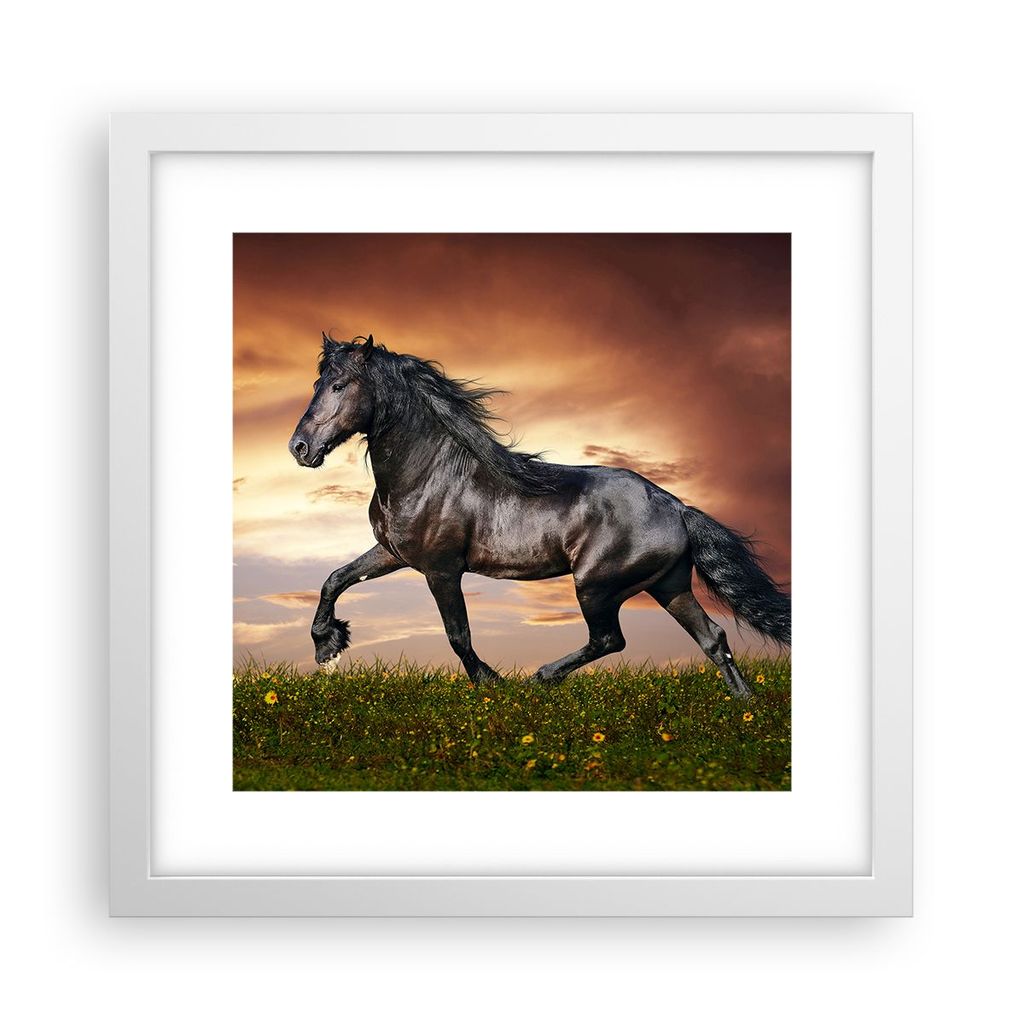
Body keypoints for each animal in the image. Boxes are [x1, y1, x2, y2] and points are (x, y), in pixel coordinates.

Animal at [288, 333, 790, 698]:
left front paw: (491, 682)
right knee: (712, 638)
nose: (300, 448)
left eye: (339, 386)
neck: (428, 473)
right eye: (316, 385)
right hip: (669, 585)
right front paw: (327, 646)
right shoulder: (393, 553)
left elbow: (457, 635)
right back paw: (743, 705)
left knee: (610, 640)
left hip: (597, 586)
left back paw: (542, 677)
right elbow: (335, 579)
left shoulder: (441, 569)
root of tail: (676, 507)